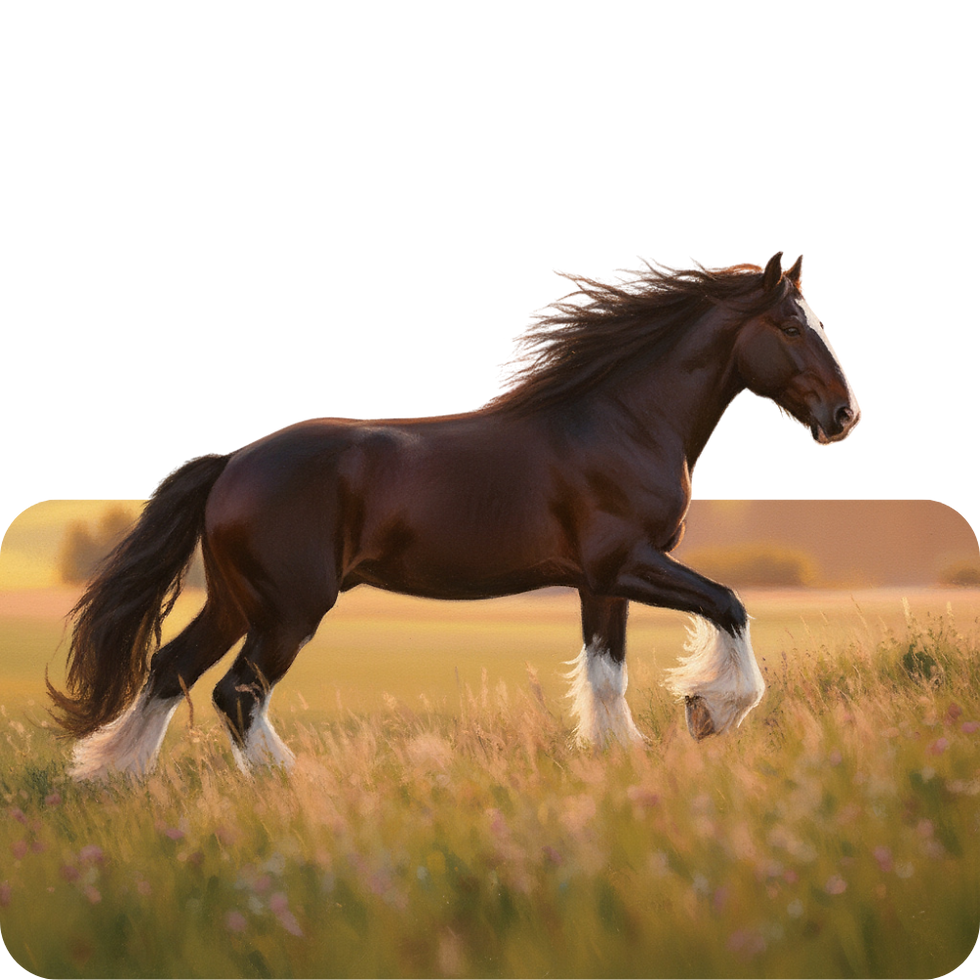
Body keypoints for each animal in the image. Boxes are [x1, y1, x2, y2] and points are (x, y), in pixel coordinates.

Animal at [48, 248, 863, 780]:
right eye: (794, 327)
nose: (845, 417)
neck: (623, 421)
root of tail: (232, 463)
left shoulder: (600, 582)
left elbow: (607, 674)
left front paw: (622, 757)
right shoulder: (627, 562)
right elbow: (729, 604)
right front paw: (709, 711)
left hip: (236, 600)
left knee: (171, 669)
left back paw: (116, 776)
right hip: (288, 608)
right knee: (235, 692)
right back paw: (292, 778)